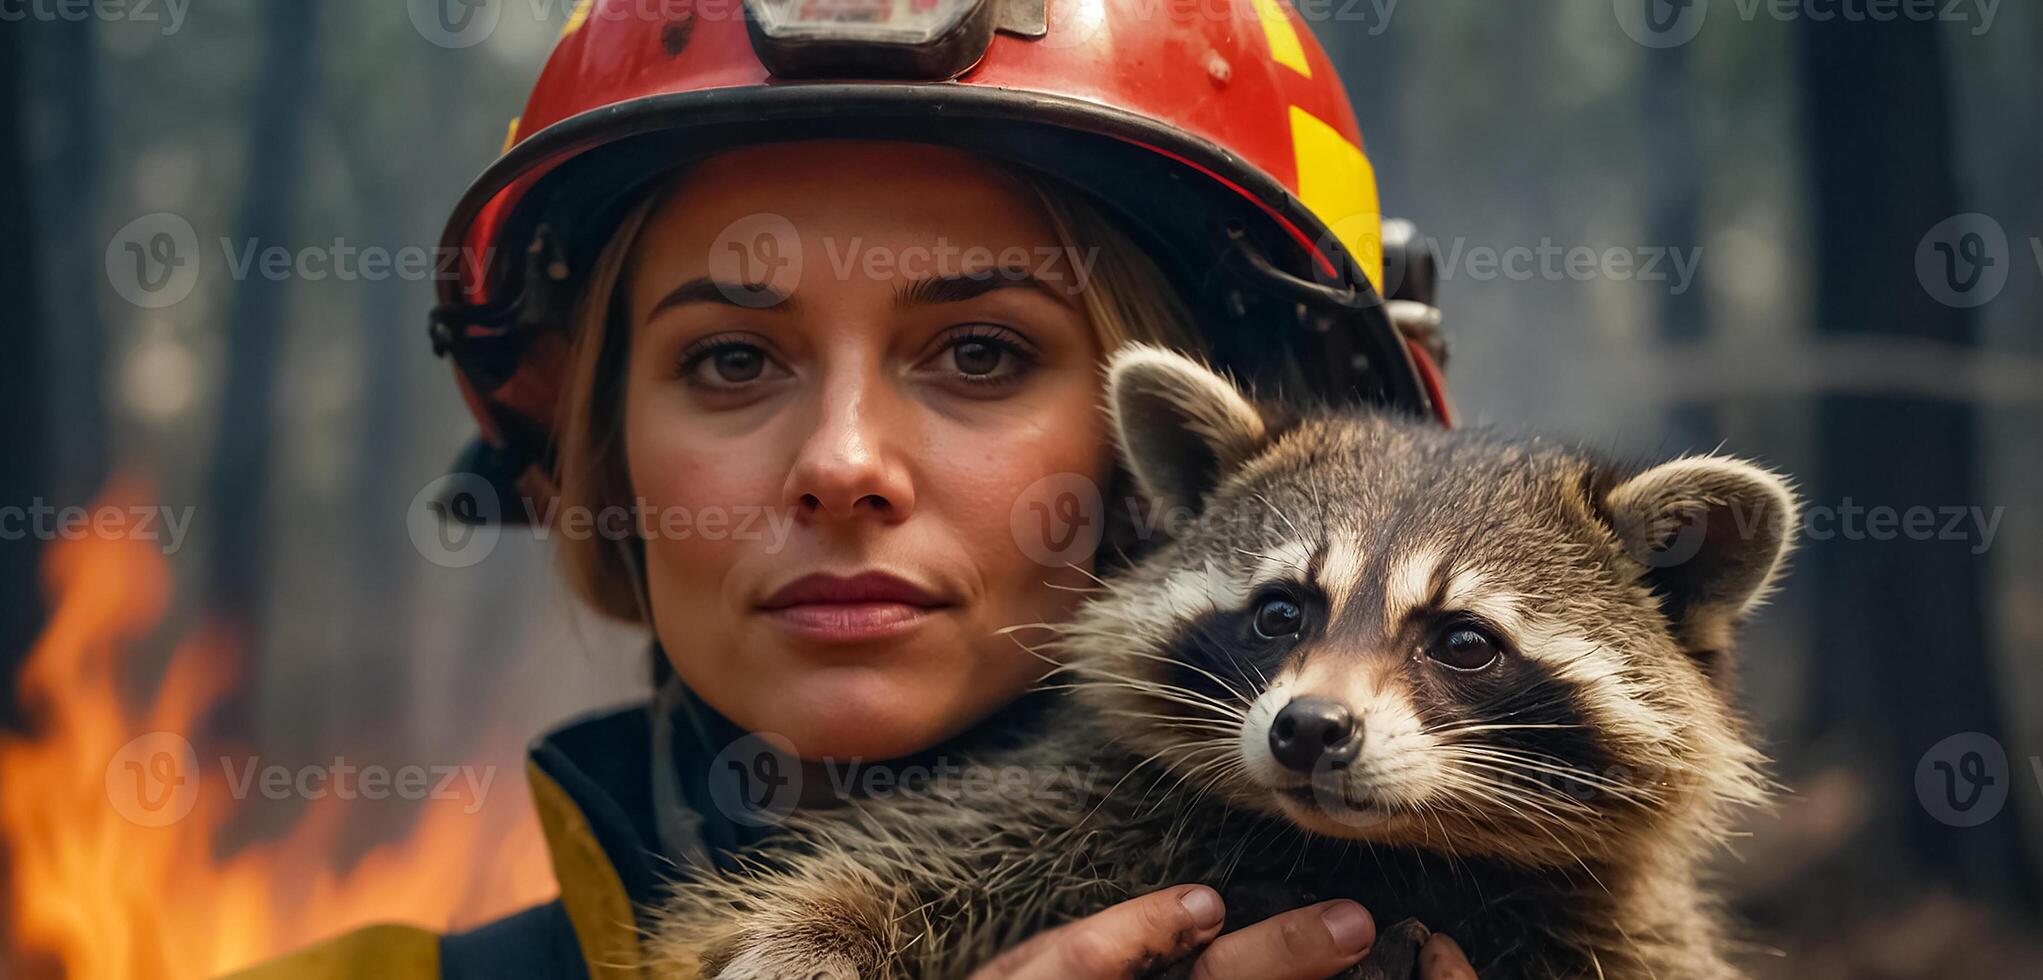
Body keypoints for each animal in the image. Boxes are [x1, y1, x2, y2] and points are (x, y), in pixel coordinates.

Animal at [645, 345, 1797, 980]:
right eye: (1281, 610)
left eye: (1465, 642)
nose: (1310, 729)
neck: (1370, 854)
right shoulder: (1092, 801)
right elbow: (929, 849)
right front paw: (815, 928)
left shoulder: (1609, 925)